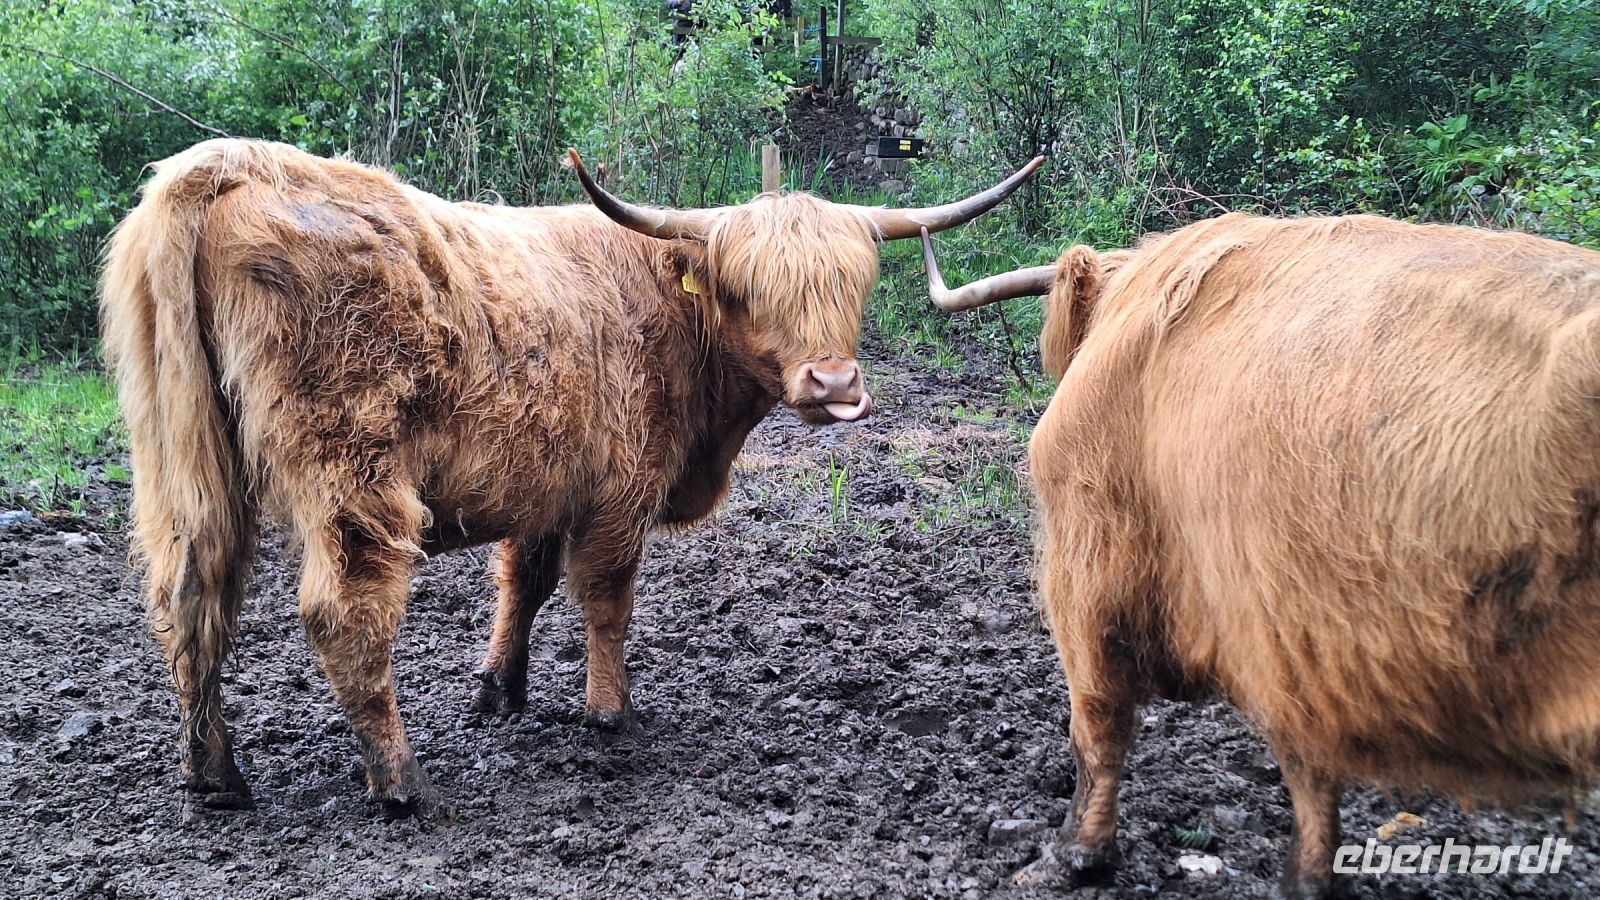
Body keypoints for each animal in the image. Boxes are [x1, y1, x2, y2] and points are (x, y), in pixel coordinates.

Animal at [99, 137, 1040, 820]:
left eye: (856, 280)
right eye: (745, 285)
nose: (834, 384)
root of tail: (229, 165)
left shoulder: (546, 481)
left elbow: (526, 581)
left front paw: (499, 691)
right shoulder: (622, 488)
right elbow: (605, 599)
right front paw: (608, 710)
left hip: (187, 461)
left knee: (192, 594)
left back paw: (215, 774)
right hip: (350, 468)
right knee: (344, 613)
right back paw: (403, 784)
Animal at [920, 214, 1600, 896]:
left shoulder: (1091, 559)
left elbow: (1097, 723)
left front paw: (1071, 857)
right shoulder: (1293, 632)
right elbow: (1312, 774)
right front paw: (1309, 880)